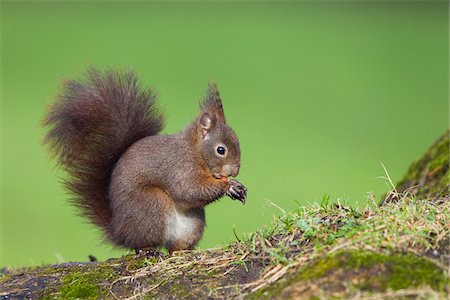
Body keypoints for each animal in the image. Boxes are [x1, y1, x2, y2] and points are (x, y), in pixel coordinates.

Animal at [43, 68, 246, 253]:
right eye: (221, 150)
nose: (234, 171)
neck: (195, 152)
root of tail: (119, 231)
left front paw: (235, 184)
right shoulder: (180, 167)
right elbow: (188, 190)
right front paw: (227, 185)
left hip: (192, 225)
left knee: (173, 247)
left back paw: (183, 251)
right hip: (151, 204)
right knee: (141, 243)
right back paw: (147, 249)